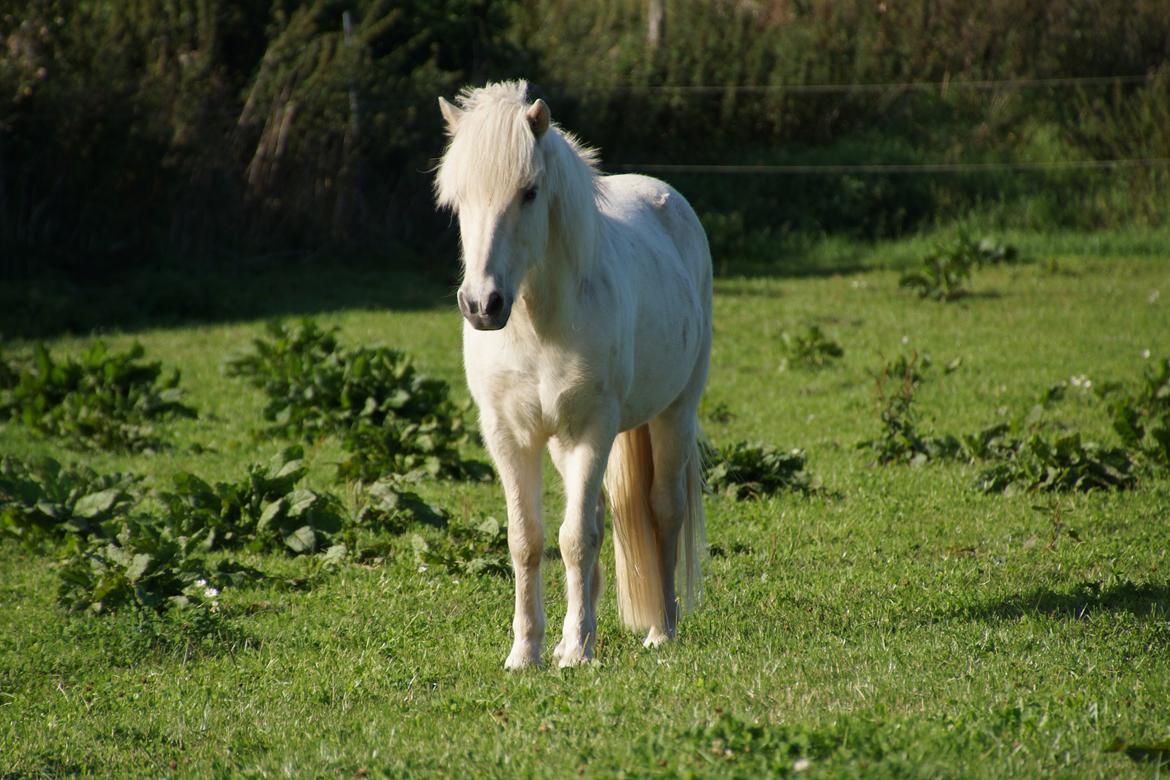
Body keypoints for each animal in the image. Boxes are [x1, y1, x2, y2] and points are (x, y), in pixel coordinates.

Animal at [437, 80, 711, 673]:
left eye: (529, 192)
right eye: (458, 199)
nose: (482, 305)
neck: (537, 324)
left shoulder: (593, 429)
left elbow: (577, 538)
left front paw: (578, 651)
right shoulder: (510, 436)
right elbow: (528, 539)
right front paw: (528, 652)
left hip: (674, 413)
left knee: (664, 509)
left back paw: (662, 629)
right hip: (565, 444)